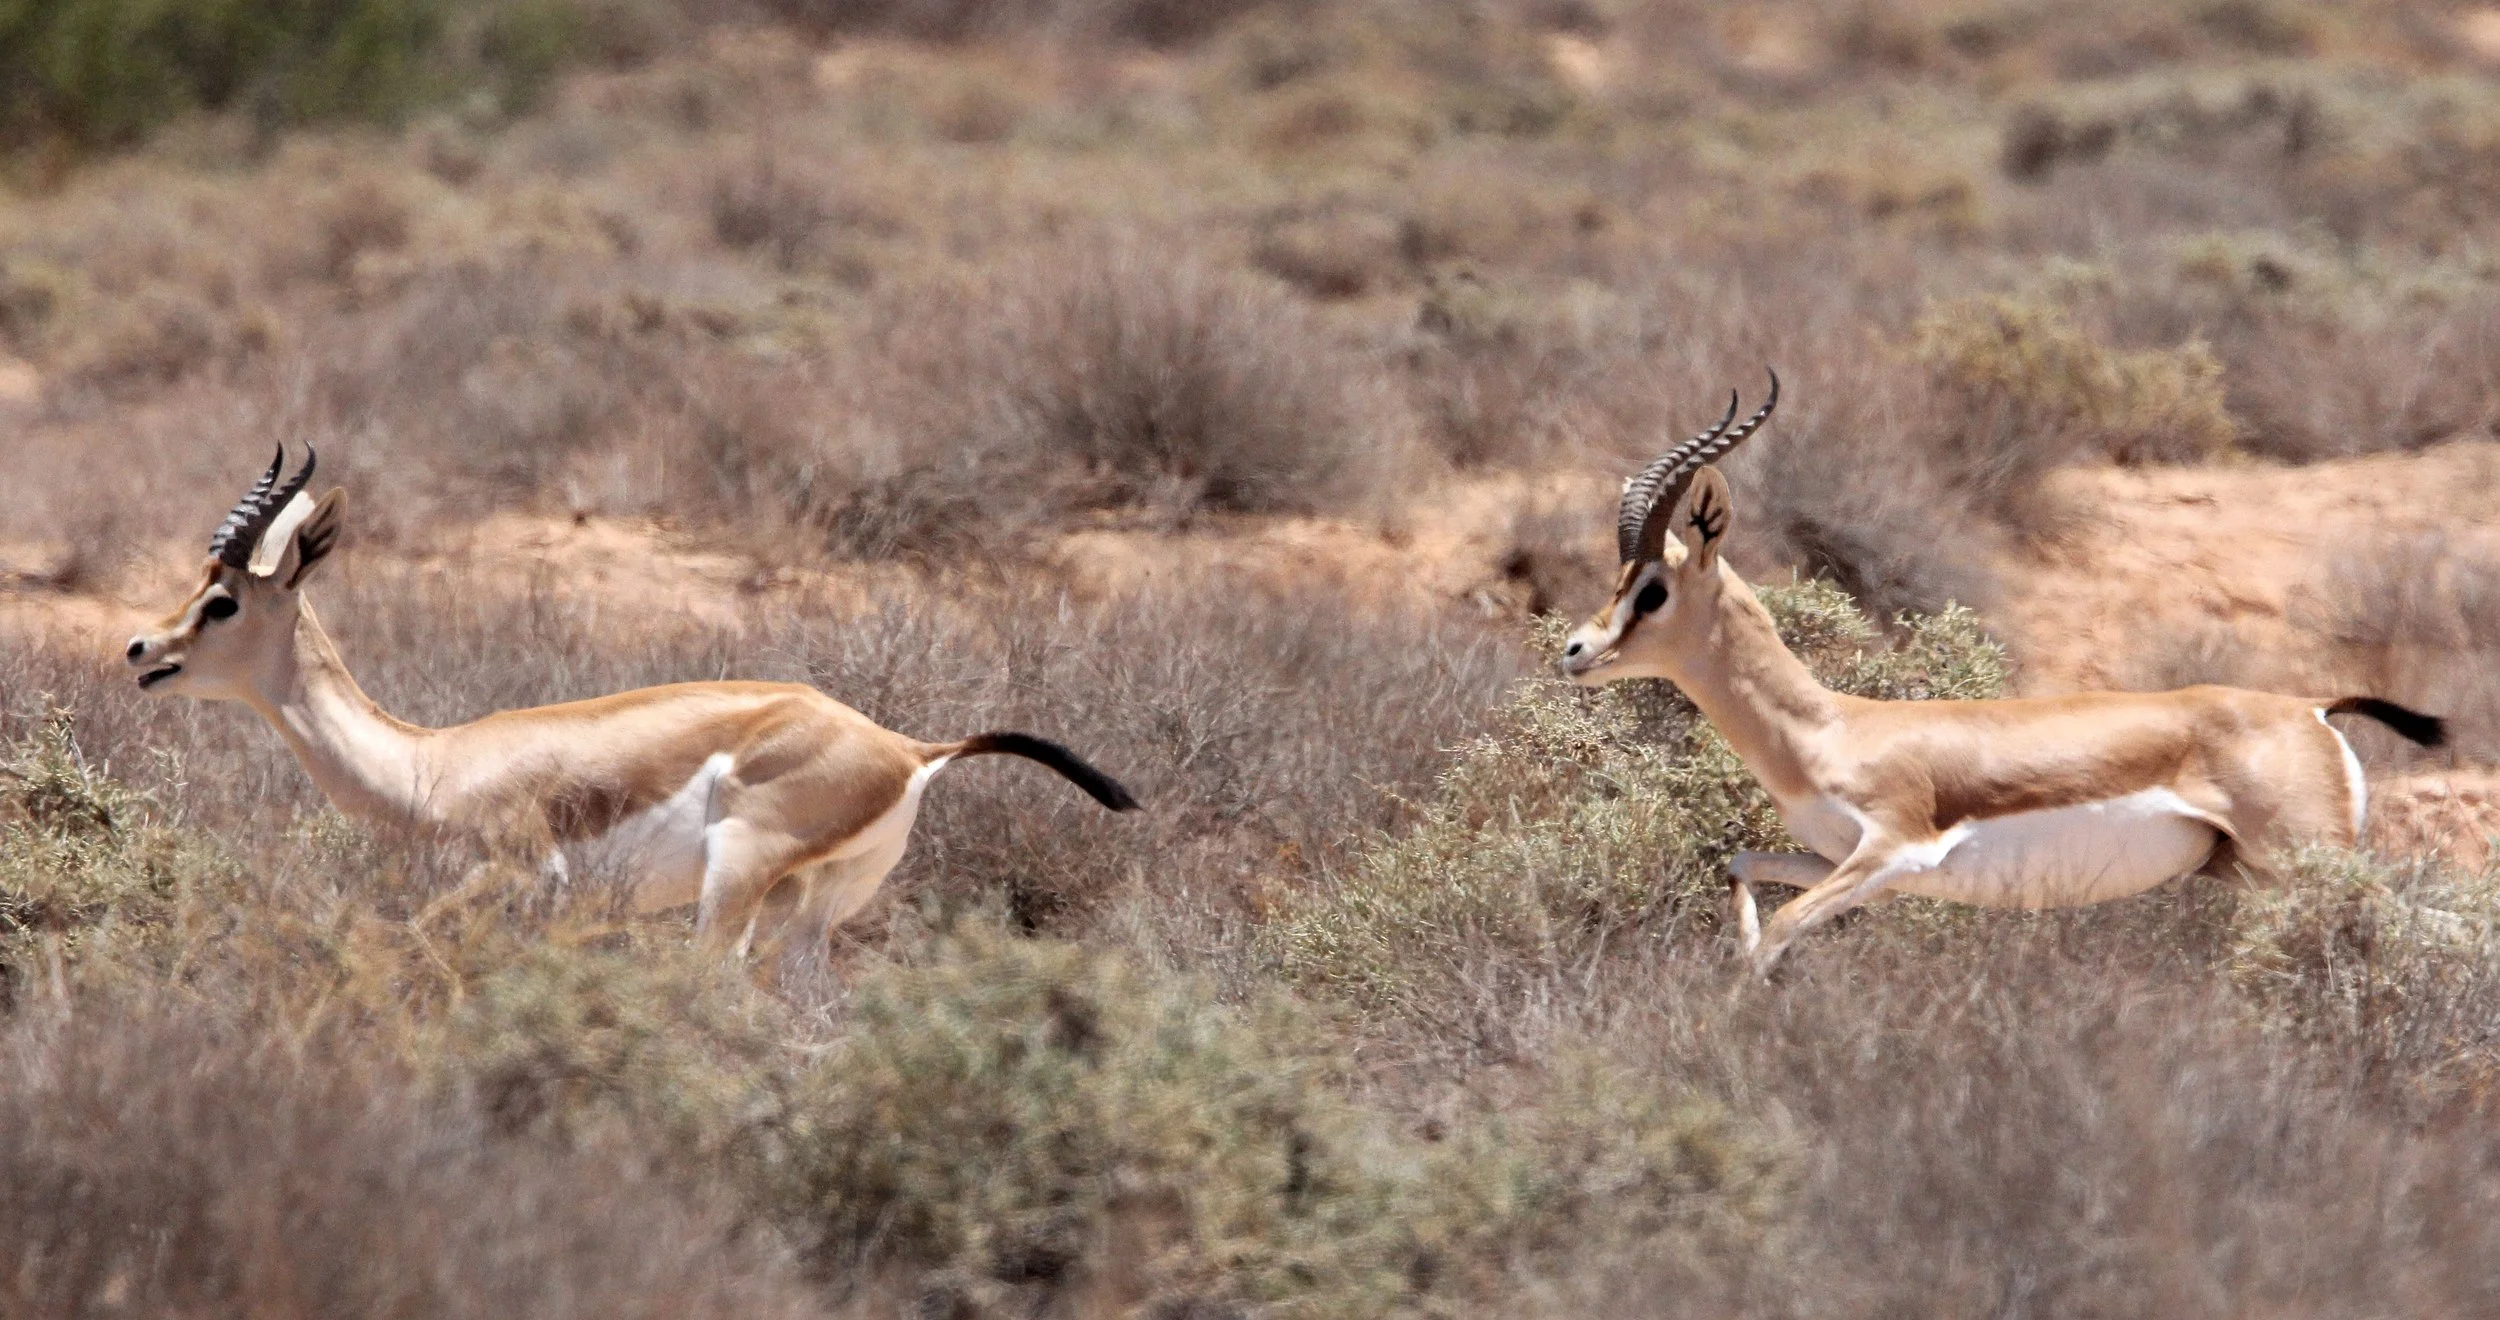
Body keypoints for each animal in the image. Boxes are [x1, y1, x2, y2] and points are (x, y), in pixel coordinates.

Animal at [125, 448, 1138, 958]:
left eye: (222, 601)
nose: (140, 650)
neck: (431, 762)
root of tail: (908, 746)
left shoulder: (524, 878)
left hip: (733, 885)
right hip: (813, 912)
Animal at [1560, 372, 2447, 978]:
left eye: (1652, 589)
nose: (1574, 650)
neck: (1831, 727)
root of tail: (2312, 709)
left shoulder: (1895, 853)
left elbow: (1781, 929)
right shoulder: (1842, 861)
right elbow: (1746, 868)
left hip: (2307, 862)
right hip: (2258, 875)